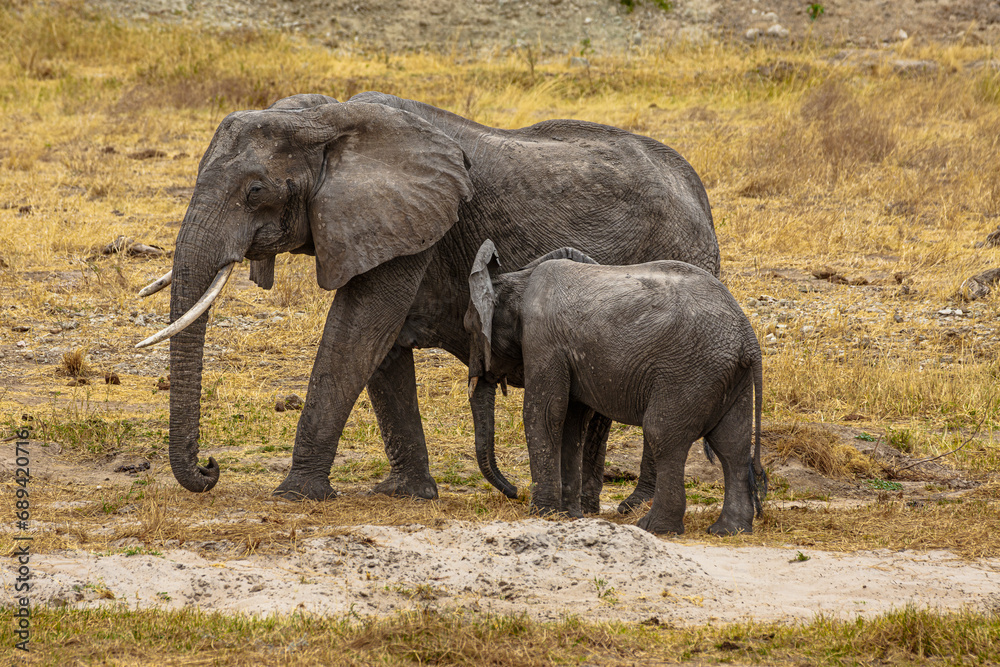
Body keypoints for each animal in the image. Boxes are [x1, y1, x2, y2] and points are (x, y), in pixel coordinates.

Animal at [134, 91, 720, 502]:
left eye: (255, 191)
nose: (210, 468)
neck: (329, 119)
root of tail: (698, 193)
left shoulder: (413, 224)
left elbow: (358, 332)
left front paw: (295, 495)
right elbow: (381, 350)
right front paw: (407, 494)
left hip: (676, 253)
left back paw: (632, 507)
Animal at [465, 240, 767, 535]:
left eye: (470, 330)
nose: (515, 491)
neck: (517, 278)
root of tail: (749, 338)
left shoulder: (543, 340)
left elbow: (545, 413)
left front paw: (543, 514)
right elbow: (572, 421)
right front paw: (570, 515)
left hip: (690, 371)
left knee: (662, 433)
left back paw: (655, 527)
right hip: (728, 376)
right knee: (731, 445)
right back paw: (728, 531)